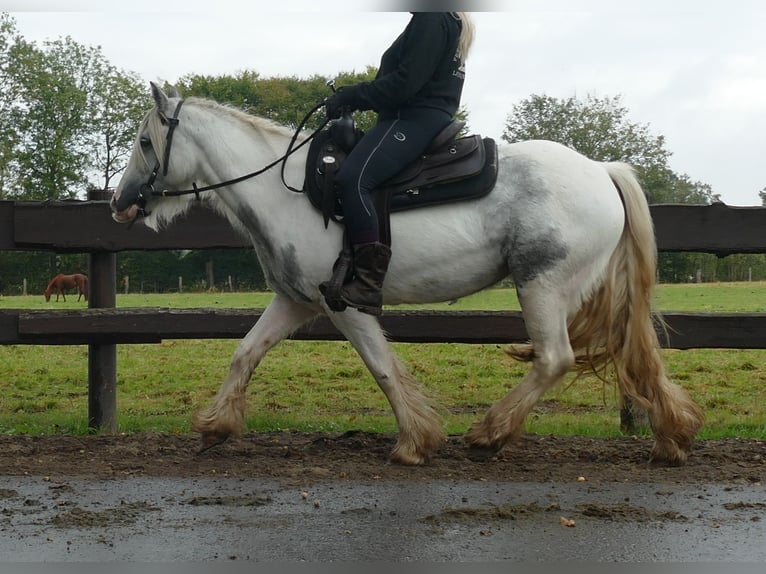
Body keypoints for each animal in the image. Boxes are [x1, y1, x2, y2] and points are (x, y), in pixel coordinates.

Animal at [111, 83, 704, 466]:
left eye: (143, 142)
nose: (120, 203)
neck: (286, 190)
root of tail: (602, 170)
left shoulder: (341, 304)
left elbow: (381, 367)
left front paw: (415, 443)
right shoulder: (294, 301)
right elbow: (245, 353)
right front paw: (216, 425)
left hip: (543, 285)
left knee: (555, 358)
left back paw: (490, 433)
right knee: (634, 352)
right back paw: (672, 437)